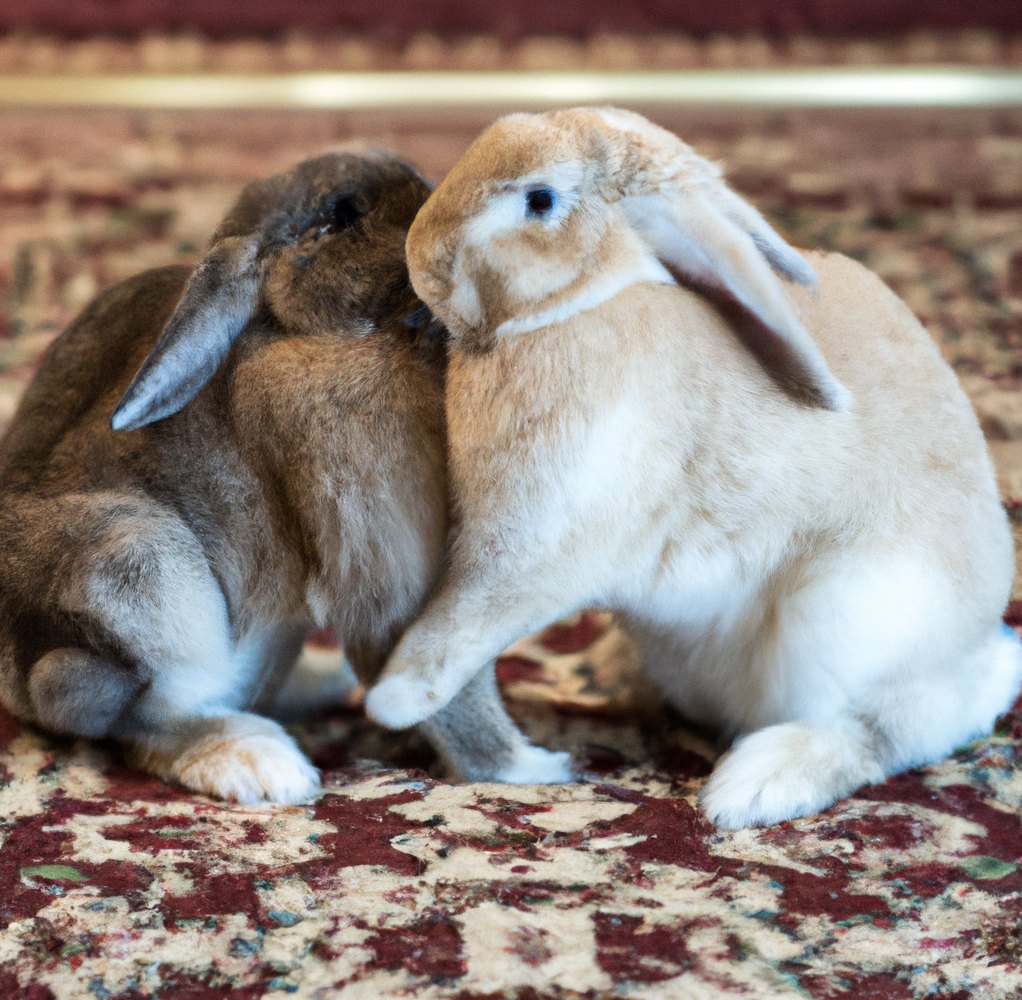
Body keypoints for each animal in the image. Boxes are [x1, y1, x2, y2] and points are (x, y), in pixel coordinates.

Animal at [0, 148, 568, 801]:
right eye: (344, 214)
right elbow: (427, 664)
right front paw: (535, 772)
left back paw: (320, 685)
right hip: (139, 562)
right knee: (140, 723)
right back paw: (262, 763)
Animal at [365, 107, 1021, 826]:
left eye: (540, 199)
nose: (420, 260)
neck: (581, 307)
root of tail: (985, 643)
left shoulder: (540, 545)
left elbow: (466, 618)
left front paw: (391, 699)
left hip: (842, 618)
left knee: (897, 727)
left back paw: (753, 788)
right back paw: (609, 671)